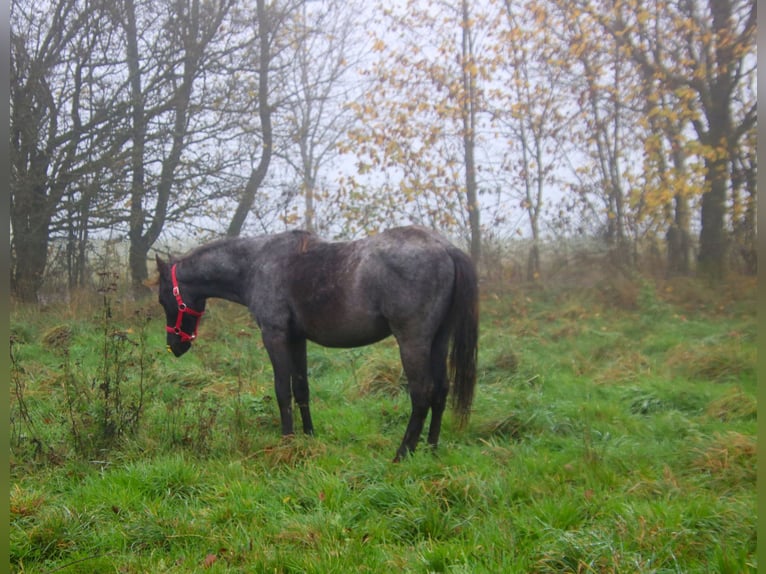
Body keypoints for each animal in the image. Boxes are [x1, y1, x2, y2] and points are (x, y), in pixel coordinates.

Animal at [155, 225, 479, 461]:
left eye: (163, 298)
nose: (175, 345)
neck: (256, 263)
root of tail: (445, 248)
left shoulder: (274, 335)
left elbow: (282, 390)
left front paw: (287, 440)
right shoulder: (297, 339)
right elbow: (301, 389)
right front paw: (308, 436)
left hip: (413, 341)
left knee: (422, 393)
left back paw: (403, 453)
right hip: (438, 341)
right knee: (441, 390)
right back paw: (431, 449)